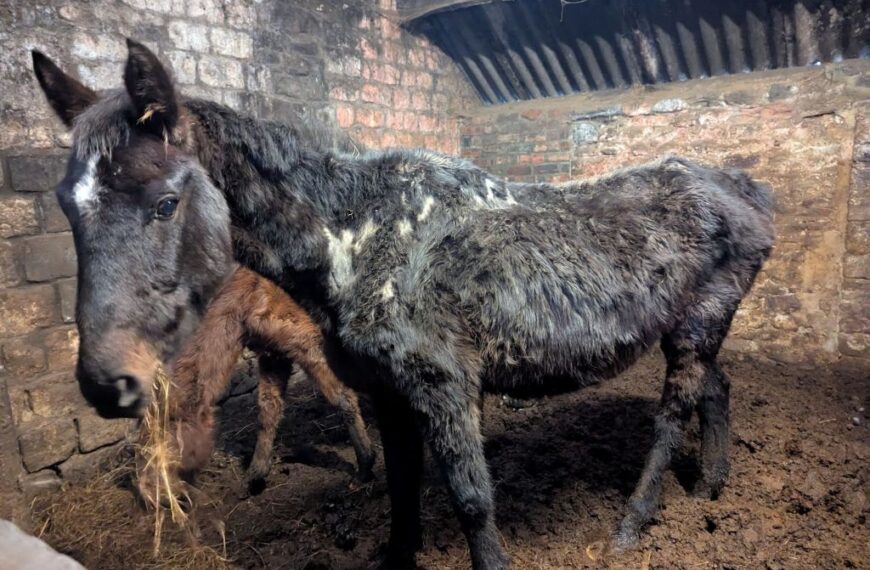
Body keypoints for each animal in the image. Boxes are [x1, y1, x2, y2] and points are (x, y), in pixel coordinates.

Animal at [33, 41, 774, 569]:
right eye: (67, 204)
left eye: (165, 203)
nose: (107, 382)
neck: (359, 237)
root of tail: (743, 188)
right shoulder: (386, 391)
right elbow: (401, 493)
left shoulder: (443, 385)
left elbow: (473, 502)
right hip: (696, 327)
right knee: (716, 390)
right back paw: (709, 487)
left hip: (697, 325)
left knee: (672, 415)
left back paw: (633, 524)